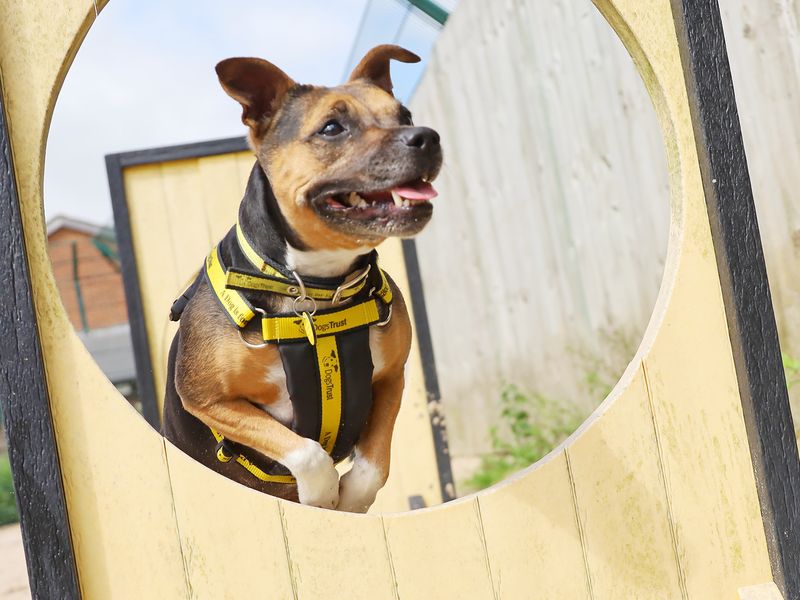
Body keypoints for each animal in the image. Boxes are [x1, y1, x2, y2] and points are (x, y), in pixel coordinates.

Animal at [159, 44, 440, 510]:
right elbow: (306, 450)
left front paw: (348, 502)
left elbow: (371, 466)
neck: (318, 287)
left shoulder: (391, 378)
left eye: (405, 115)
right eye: (332, 128)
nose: (427, 137)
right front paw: (321, 493)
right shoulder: (208, 399)